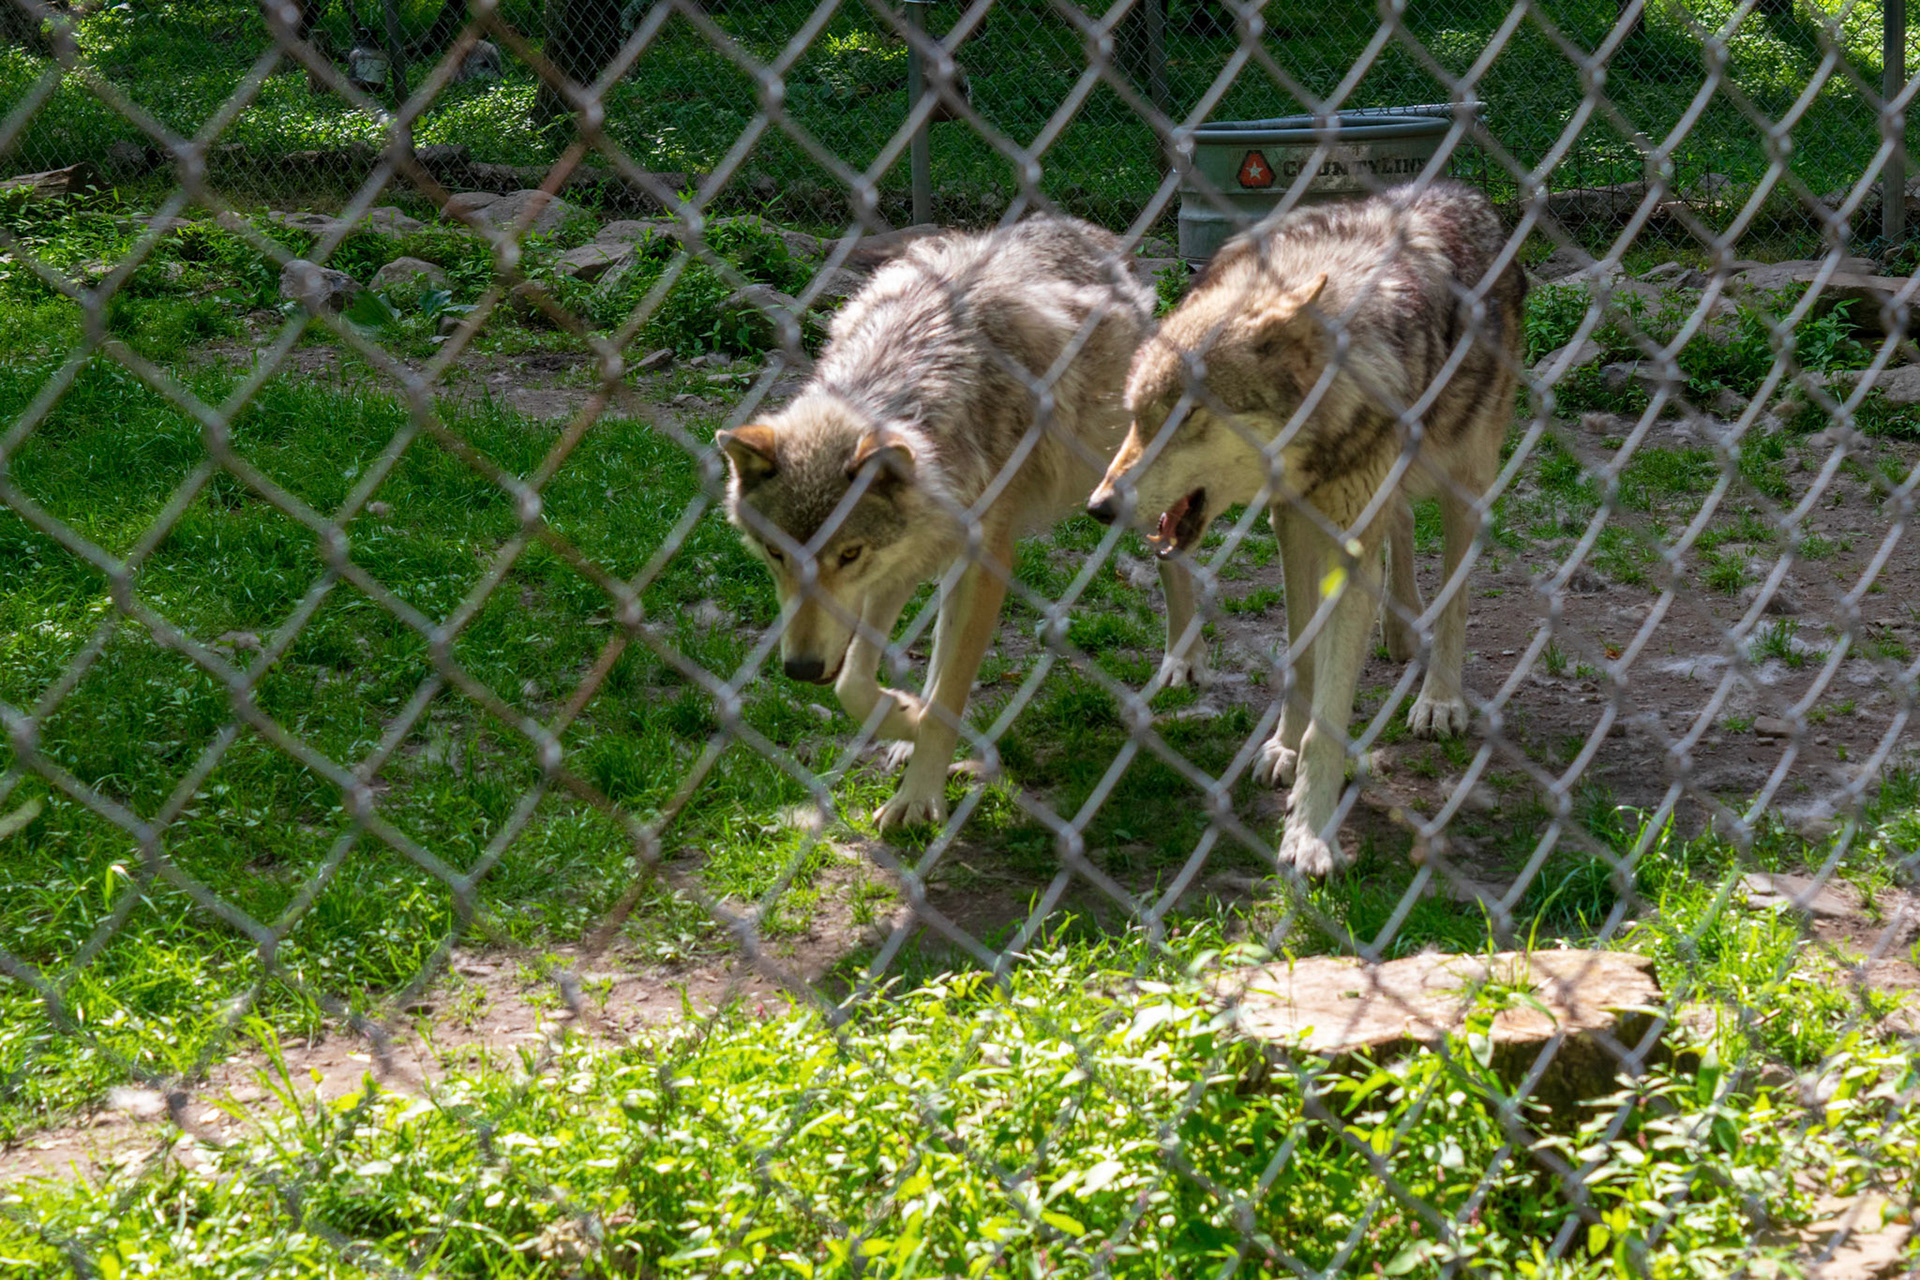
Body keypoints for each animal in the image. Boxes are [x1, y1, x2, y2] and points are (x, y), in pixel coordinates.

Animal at [716, 216, 1209, 832]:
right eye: (776, 554)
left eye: (847, 555)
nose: (802, 670)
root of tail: (1080, 225)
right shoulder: (899, 562)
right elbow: (856, 682)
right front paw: (905, 717)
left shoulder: (982, 561)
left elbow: (947, 694)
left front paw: (918, 792)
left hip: (1111, 482)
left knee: (1175, 549)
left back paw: (1182, 661)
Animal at [1087, 182, 1526, 875]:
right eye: (1136, 417)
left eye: (1188, 418)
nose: (1100, 506)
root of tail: (1458, 191)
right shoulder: (1292, 522)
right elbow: (1299, 654)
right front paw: (1284, 748)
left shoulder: (1347, 535)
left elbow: (1331, 712)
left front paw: (1311, 833)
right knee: (1401, 525)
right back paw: (1398, 630)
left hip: (1466, 480)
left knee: (1454, 598)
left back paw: (1439, 699)